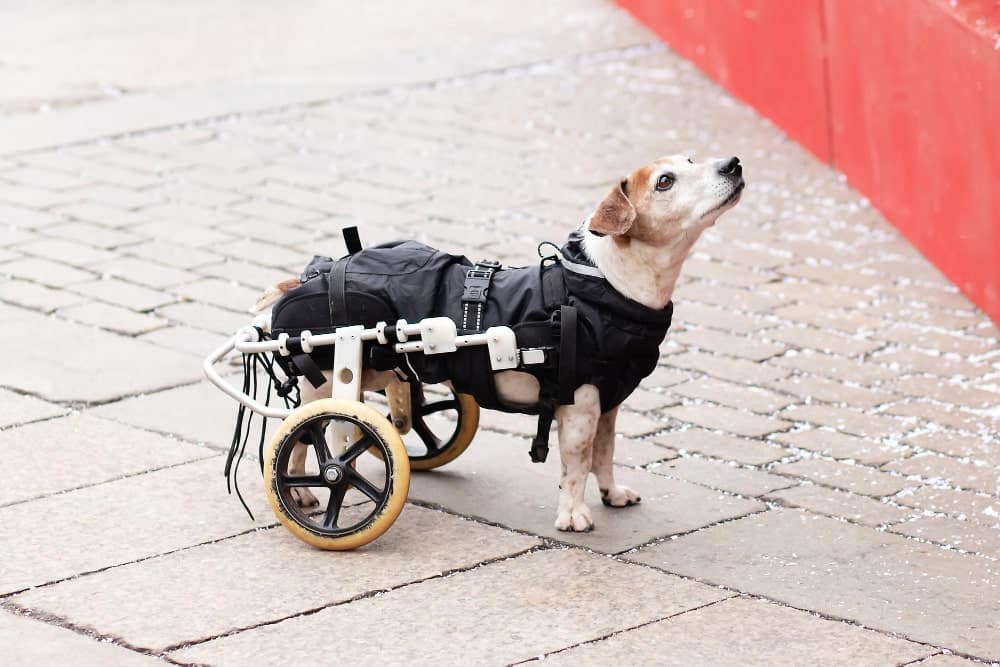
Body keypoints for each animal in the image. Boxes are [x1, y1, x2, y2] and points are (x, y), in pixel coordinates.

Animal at [258, 155, 744, 532]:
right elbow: (576, 465)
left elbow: (604, 454)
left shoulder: (607, 404)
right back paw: (304, 492)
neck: (604, 285)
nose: (733, 163)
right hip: (326, 385)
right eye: (665, 181)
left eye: (690, 160)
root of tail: (309, 276)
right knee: (304, 436)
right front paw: (574, 515)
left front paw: (611, 492)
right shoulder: (580, 407)